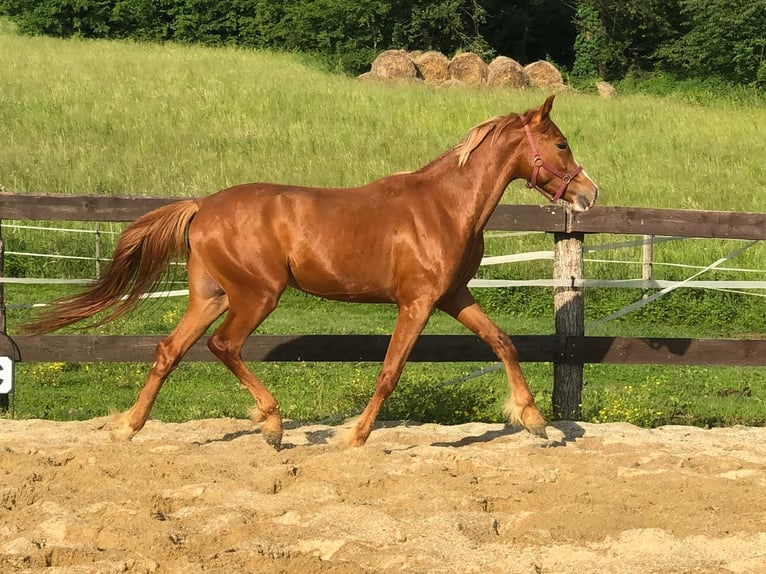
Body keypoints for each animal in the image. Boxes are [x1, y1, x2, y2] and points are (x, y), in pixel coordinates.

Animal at [23, 95, 598, 448]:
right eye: (562, 143)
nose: (589, 194)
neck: (444, 206)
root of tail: (202, 206)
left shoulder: (454, 296)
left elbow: (503, 343)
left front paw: (534, 421)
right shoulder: (416, 303)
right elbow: (390, 371)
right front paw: (354, 437)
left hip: (210, 296)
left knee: (170, 350)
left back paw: (128, 427)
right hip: (257, 295)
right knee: (223, 346)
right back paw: (272, 425)